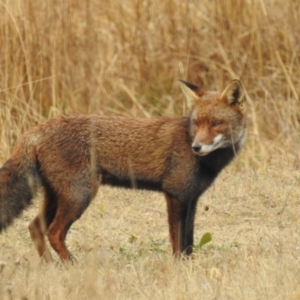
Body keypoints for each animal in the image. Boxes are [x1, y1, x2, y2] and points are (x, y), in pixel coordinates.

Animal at [0, 79, 246, 260]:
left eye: (216, 124)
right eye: (197, 123)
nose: (197, 147)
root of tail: (35, 129)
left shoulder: (191, 198)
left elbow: (189, 242)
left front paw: (188, 266)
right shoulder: (175, 194)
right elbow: (178, 242)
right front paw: (178, 267)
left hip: (56, 196)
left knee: (35, 227)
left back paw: (50, 265)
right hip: (79, 196)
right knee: (53, 232)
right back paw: (71, 264)